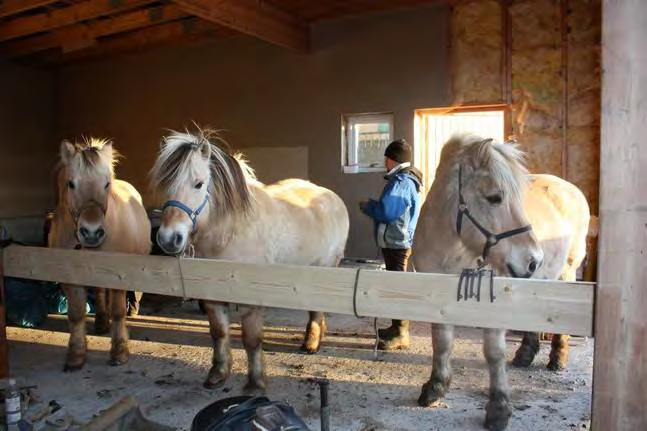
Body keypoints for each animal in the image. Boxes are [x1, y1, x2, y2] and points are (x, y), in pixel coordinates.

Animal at [48, 138, 152, 372]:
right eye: (71, 183)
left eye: (106, 184)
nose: (92, 232)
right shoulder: (70, 277)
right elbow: (76, 314)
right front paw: (76, 354)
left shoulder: (119, 277)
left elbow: (119, 311)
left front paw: (119, 351)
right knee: (99, 291)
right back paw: (101, 322)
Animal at [151, 128, 350, 394]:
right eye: (166, 185)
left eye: (198, 184)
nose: (168, 238)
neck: (231, 231)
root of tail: (333, 197)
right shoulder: (212, 297)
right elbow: (219, 333)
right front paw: (218, 373)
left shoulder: (250, 301)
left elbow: (252, 340)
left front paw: (256, 382)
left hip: (326, 268)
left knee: (316, 309)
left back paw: (312, 343)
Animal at [412, 133, 588, 430]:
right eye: (494, 197)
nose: (533, 260)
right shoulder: (436, 300)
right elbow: (442, 342)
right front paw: (436, 387)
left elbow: (494, 353)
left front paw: (499, 408)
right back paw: (526, 354)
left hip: (566, 272)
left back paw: (558, 358)